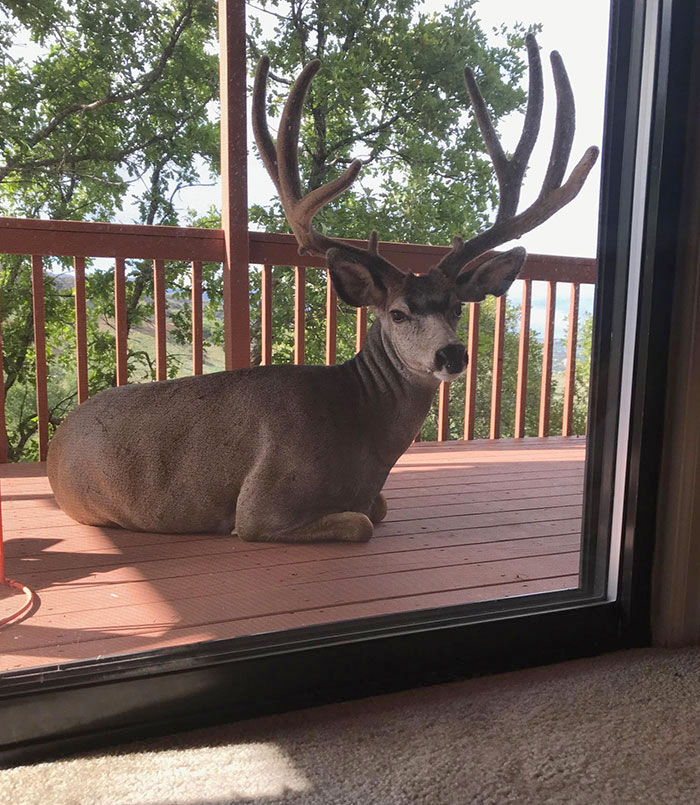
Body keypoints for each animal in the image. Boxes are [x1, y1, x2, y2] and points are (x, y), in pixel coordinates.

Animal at [47, 35, 598, 543]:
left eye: (458, 309)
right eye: (398, 313)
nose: (452, 355)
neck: (360, 437)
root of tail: (58, 439)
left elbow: (379, 509)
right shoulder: (259, 506)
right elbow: (362, 523)